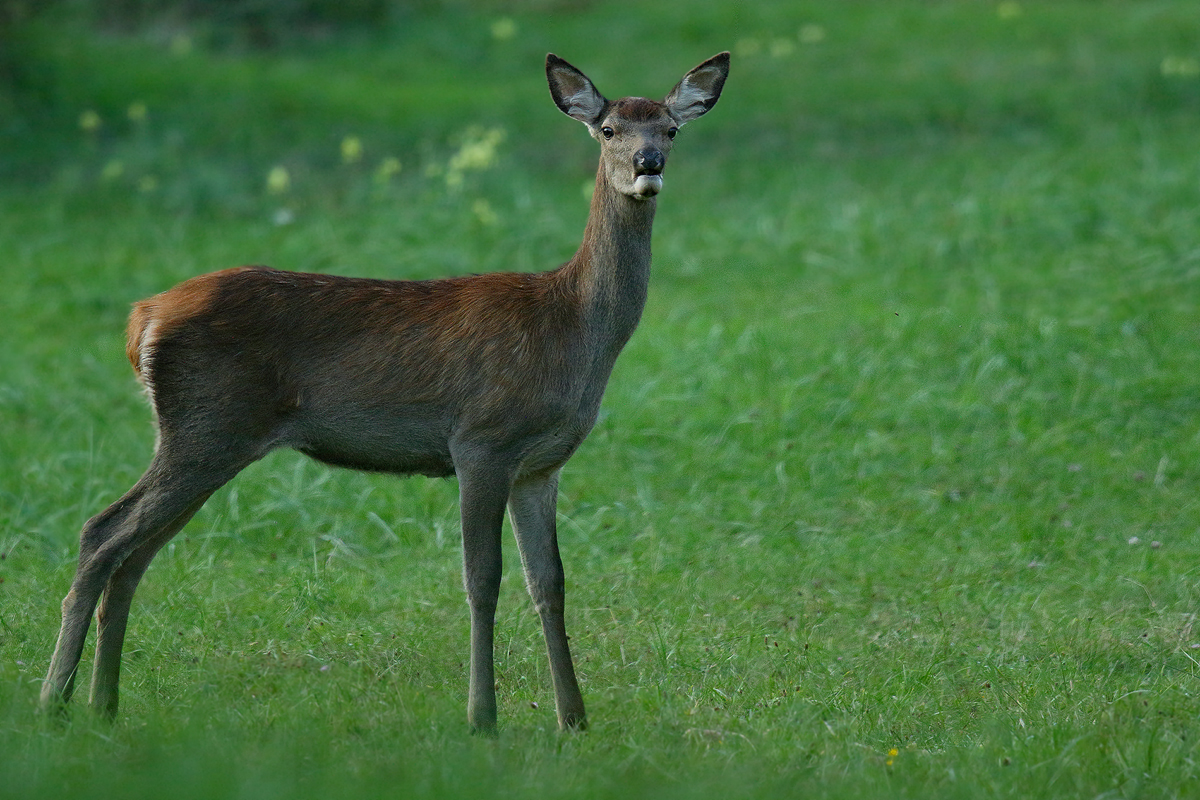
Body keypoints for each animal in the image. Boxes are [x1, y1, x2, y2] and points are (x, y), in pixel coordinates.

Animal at [37, 51, 724, 738]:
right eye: (609, 130)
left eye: (670, 129)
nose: (648, 164)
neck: (573, 330)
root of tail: (142, 319)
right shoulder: (482, 441)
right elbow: (483, 579)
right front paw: (482, 717)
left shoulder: (541, 464)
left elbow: (549, 582)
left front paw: (574, 719)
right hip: (207, 426)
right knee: (102, 532)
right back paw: (54, 701)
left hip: (205, 436)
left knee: (133, 555)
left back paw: (103, 704)